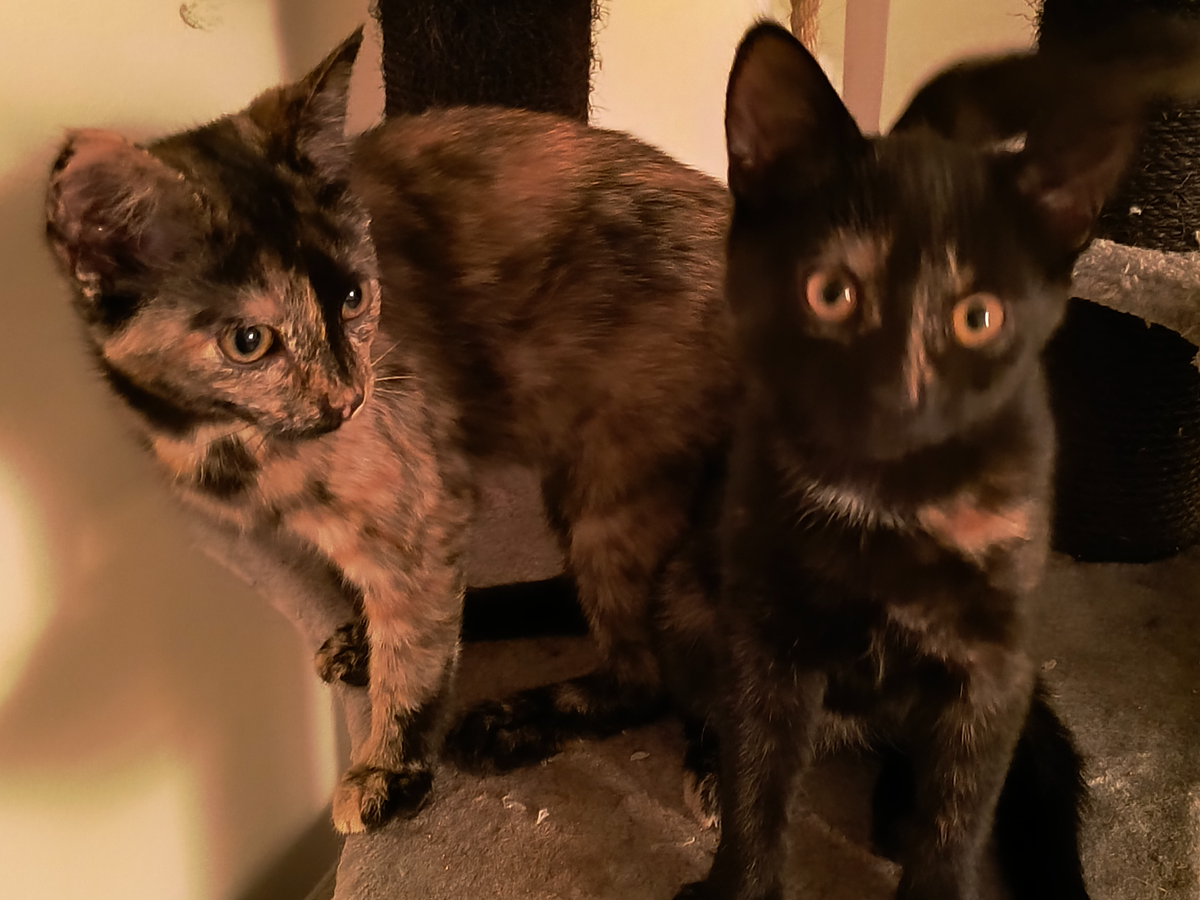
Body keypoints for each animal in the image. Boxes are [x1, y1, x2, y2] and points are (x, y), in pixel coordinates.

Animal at [46, 28, 736, 833]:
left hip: (608, 489)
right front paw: (371, 650)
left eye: (353, 297)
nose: (351, 398)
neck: (231, 439)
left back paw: (523, 722)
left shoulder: (422, 505)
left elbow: (418, 646)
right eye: (248, 341)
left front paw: (388, 766)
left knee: (646, 673)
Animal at [671, 20, 1177, 900]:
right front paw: (737, 873)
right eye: (830, 292)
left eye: (979, 317)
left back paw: (899, 810)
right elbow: (756, 784)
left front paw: (933, 848)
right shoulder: (765, 634)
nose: (897, 394)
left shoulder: (991, 664)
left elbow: (960, 812)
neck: (886, 498)